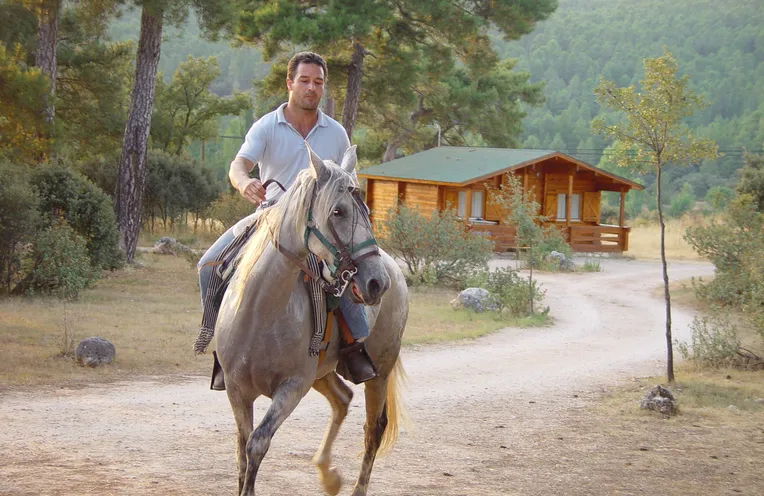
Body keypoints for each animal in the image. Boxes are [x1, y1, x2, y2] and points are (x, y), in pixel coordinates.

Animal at [212, 144, 408, 496]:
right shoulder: (236, 389)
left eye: (365, 210)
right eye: (338, 212)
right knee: (342, 400)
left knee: (374, 428)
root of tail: (395, 271)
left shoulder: (292, 387)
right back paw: (328, 476)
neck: (259, 310)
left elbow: (256, 444)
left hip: (380, 371)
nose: (376, 283)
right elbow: (241, 452)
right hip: (323, 372)